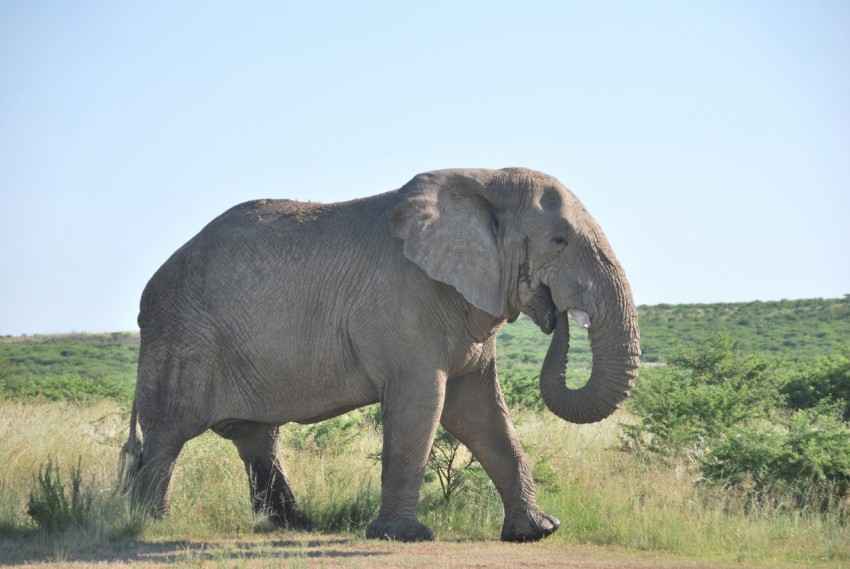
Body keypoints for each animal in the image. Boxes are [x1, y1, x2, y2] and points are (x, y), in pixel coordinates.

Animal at [119, 165, 636, 540]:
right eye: (559, 241)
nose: (556, 315)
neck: (483, 180)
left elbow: (482, 414)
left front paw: (537, 531)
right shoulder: (405, 303)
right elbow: (422, 404)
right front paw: (403, 536)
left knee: (256, 438)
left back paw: (292, 526)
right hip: (183, 336)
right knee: (168, 436)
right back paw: (148, 524)